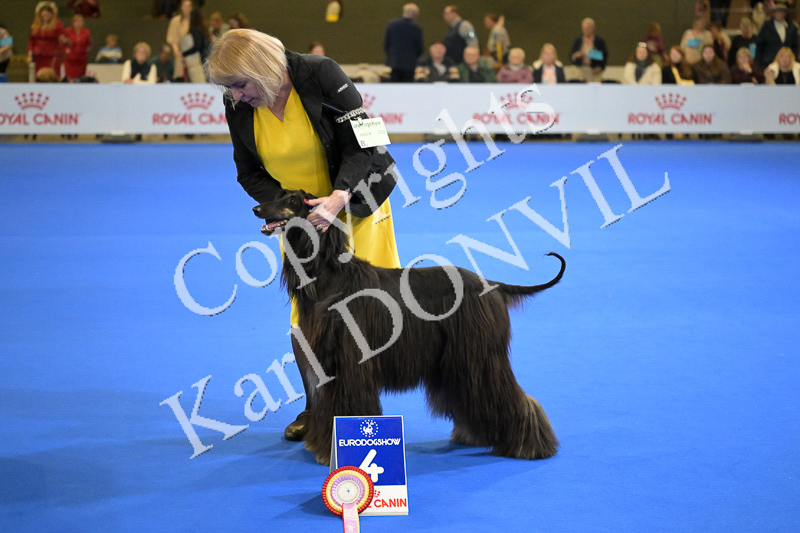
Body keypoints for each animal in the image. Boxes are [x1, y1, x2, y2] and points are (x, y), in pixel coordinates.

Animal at [253, 190, 565, 465]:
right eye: (279, 195)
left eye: (294, 200)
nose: (256, 209)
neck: (328, 277)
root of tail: (489, 284)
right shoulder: (327, 361)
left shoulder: (350, 362)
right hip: (460, 360)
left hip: (481, 355)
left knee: (511, 396)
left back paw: (528, 446)